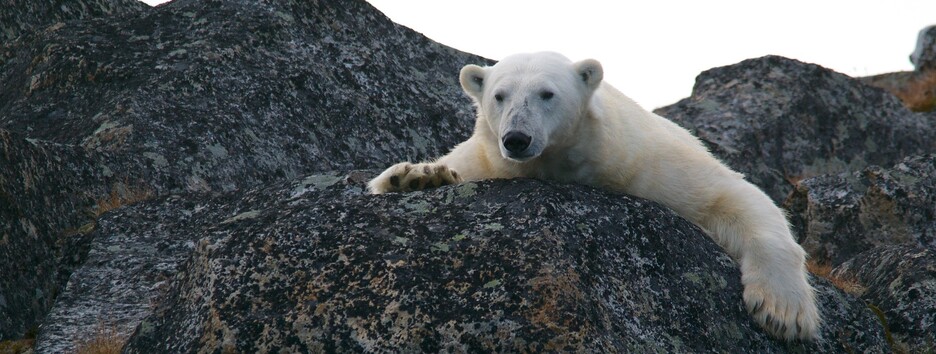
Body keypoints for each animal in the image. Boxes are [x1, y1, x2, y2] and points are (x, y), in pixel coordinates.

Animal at [368, 51, 820, 340]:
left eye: (547, 93)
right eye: (499, 95)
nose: (516, 138)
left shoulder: (647, 162)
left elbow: (732, 196)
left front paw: (783, 312)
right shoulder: (487, 158)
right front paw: (416, 177)